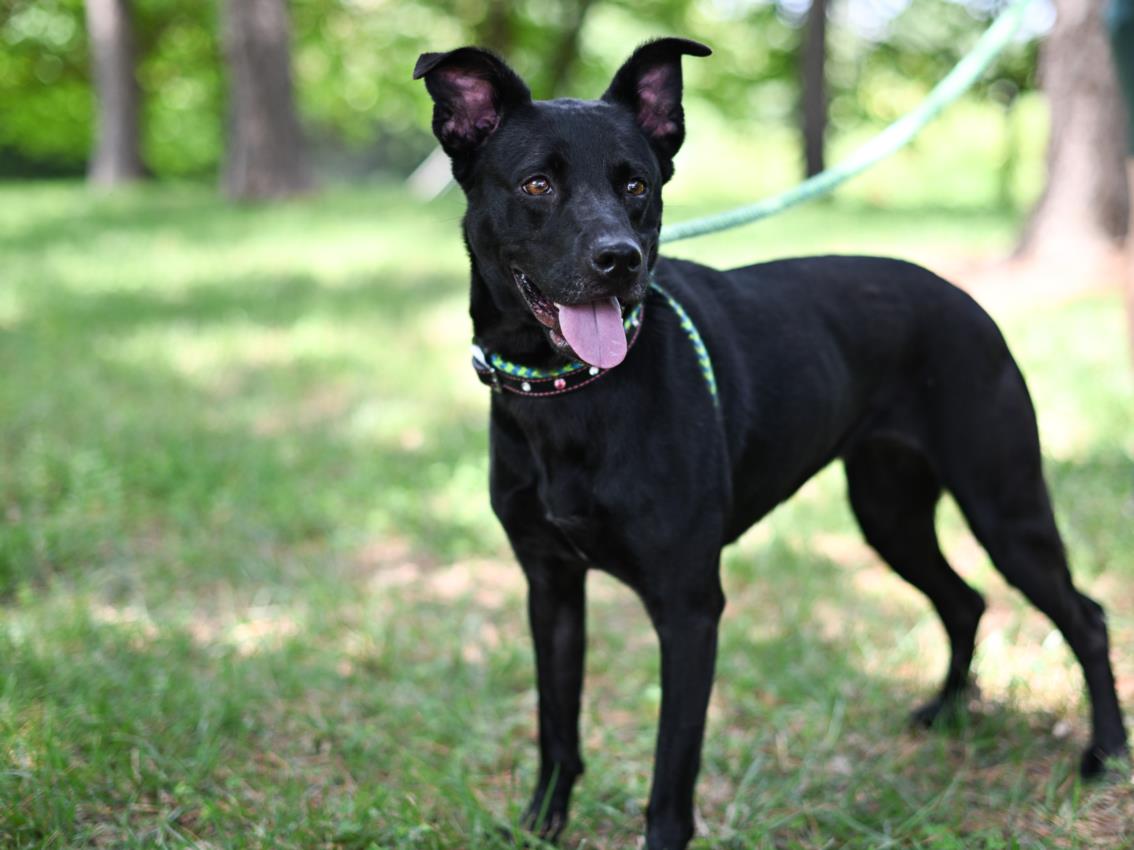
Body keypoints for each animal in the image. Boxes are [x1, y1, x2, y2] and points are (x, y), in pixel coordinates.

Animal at [412, 38, 1129, 850]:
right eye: (536, 183)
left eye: (636, 184)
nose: (619, 260)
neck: (570, 397)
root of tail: (963, 297)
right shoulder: (551, 588)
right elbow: (557, 728)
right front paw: (541, 826)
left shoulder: (690, 607)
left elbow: (671, 777)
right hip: (890, 513)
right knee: (965, 601)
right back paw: (946, 713)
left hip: (1004, 507)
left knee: (1084, 616)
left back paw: (1104, 752)